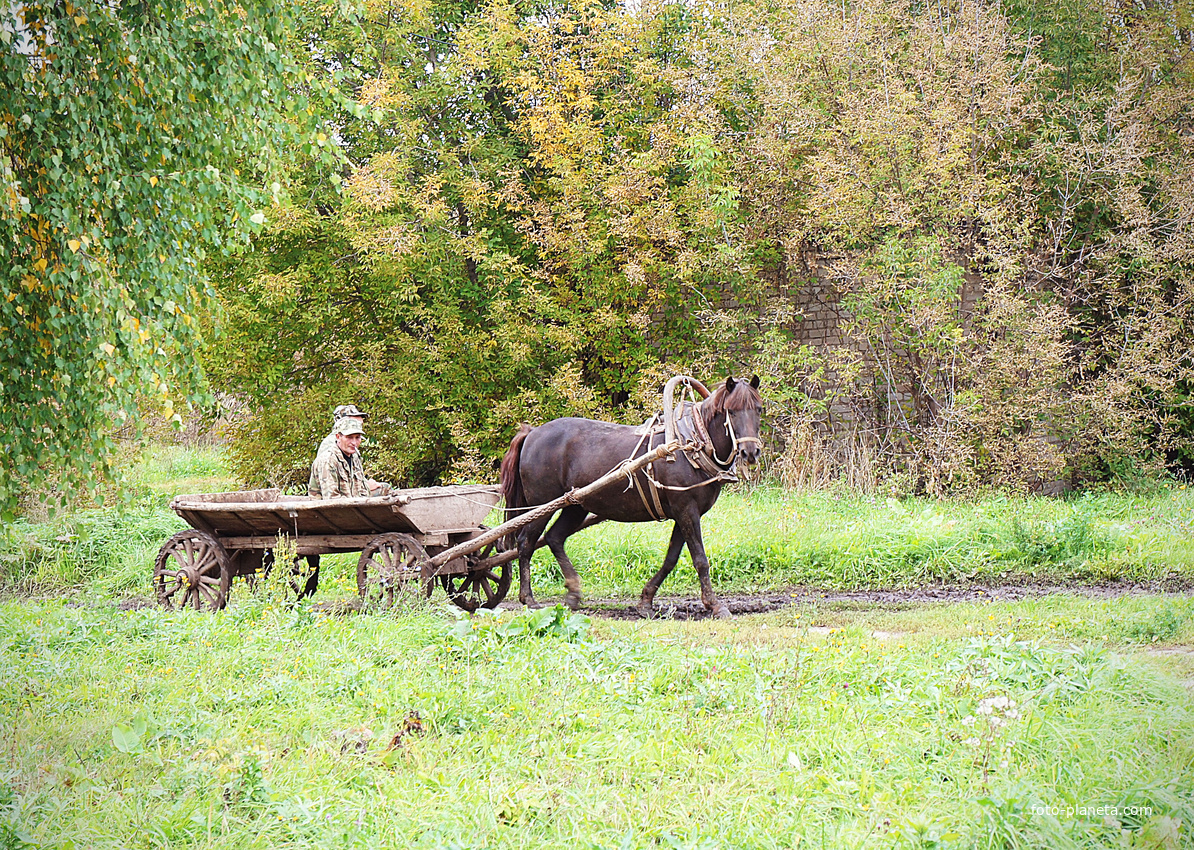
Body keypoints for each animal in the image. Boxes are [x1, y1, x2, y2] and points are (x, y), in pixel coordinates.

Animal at [496, 374, 759, 620]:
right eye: (731, 411)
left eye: (758, 408)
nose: (750, 452)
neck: (692, 445)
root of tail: (532, 433)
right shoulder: (687, 510)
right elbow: (700, 559)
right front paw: (715, 605)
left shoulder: (683, 514)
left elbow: (671, 558)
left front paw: (646, 601)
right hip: (542, 505)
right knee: (526, 543)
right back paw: (528, 599)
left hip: (576, 505)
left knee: (554, 538)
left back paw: (573, 593)